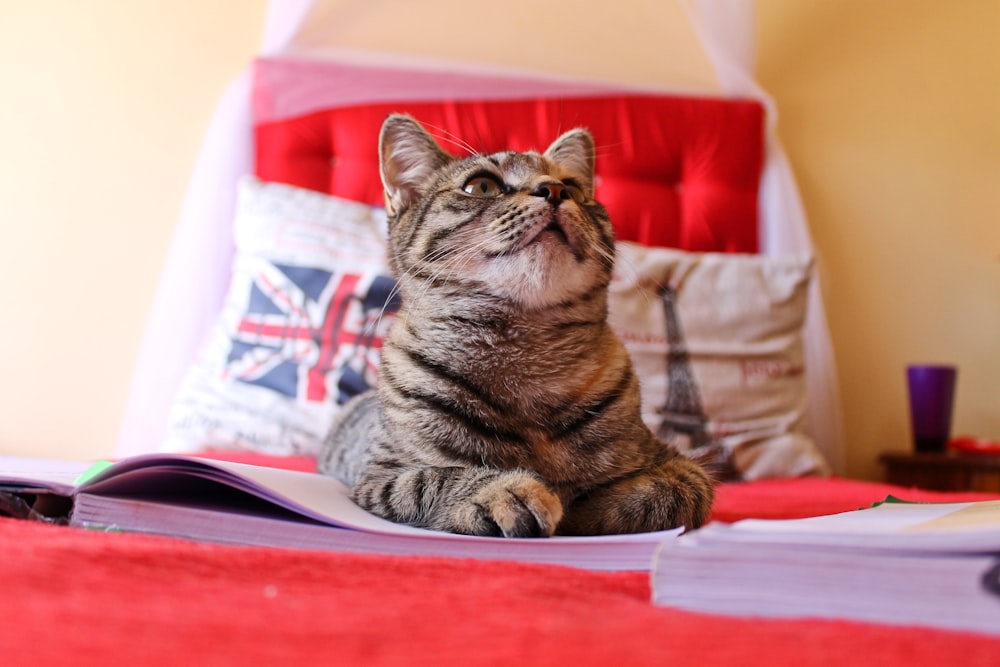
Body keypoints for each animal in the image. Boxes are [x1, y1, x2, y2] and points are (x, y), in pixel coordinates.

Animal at [320, 115, 712, 536]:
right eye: (481, 186)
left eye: (573, 186)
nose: (554, 189)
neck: (528, 351)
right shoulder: (379, 477)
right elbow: (434, 478)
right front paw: (505, 491)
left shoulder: (681, 465)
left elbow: (667, 493)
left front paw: (587, 505)